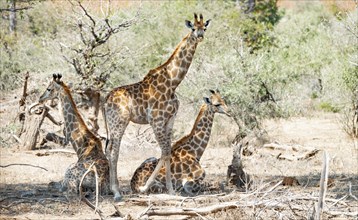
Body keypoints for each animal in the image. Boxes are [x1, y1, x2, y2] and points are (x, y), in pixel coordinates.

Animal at [103, 12, 210, 200]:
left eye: (204, 27)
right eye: (193, 28)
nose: (200, 36)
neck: (173, 82)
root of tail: (106, 99)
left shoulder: (170, 120)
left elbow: (166, 152)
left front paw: (171, 190)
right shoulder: (156, 120)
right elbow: (165, 151)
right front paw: (146, 187)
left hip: (113, 123)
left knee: (109, 150)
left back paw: (112, 189)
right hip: (119, 122)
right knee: (114, 151)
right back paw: (116, 192)